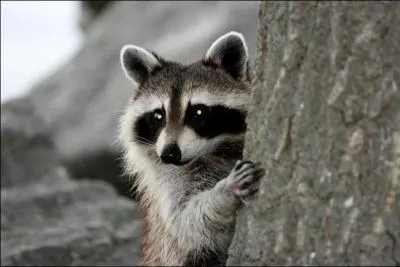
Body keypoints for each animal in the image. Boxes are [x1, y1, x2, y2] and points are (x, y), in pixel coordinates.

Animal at [117, 30, 264, 266]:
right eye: (158, 116)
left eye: (198, 112)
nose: (169, 154)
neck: (215, 151)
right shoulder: (167, 184)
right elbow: (186, 222)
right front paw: (223, 192)